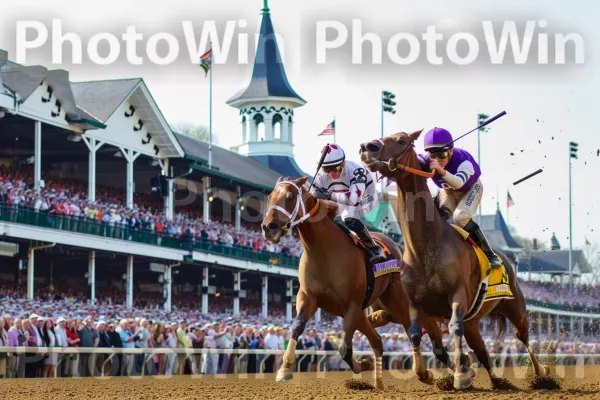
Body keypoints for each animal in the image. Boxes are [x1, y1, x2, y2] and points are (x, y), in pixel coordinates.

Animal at [258, 175, 450, 388]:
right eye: (270, 197)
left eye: (291, 197)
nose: (268, 228)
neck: (323, 251)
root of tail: (399, 247)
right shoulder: (308, 297)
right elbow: (297, 326)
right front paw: (284, 369)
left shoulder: (352, 304)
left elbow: (344, 349)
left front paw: (363, 364)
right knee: (378, 340)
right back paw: (381, 378)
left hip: (398, 301)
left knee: (413, 329)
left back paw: (429, 371)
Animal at [358, 132, 552, 390]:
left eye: (401, 140)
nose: (367, 147)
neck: (426, 247)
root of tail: (507, 260)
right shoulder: (416, 304)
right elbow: (416, 334)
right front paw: (427, 373)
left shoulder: (458, 295)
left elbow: (453, 327)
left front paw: (461, 375)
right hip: (474, 323)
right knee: (483, 352)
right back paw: (497, 381)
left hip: (516, 308)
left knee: (524, 337)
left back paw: (541, 372)